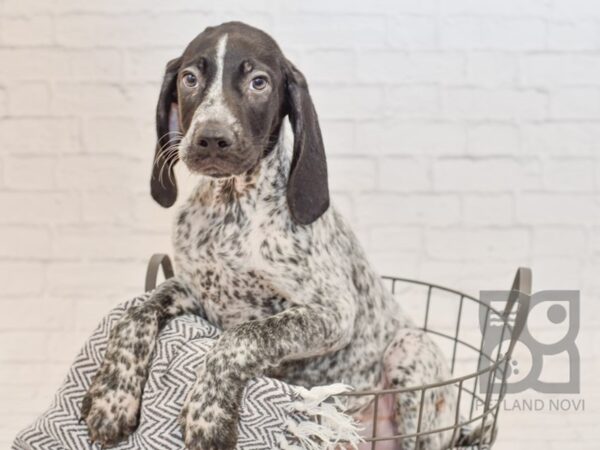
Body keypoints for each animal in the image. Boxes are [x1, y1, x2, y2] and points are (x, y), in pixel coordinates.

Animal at [83, 22, 468, 450]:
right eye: (189, 78)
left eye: (259, 82)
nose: (211, 138)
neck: (231, 207)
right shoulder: (195, 292)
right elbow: (139, 312)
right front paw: (112, 397)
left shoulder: (332, 313)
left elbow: (244, 336)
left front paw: (208, 415)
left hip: (409, 351)